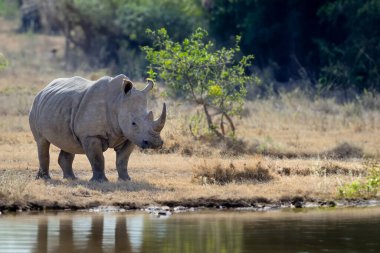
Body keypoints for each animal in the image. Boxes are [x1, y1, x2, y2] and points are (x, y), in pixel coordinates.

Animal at [29, 74, 166, 181]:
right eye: (133, 123)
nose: (155, 143)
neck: (118, 102)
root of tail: (44, 89)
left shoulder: (129, 136)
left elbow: (123, 159)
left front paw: (126, 179)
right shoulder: (91, 135)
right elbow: (97, 158)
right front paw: (100, 181)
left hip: (58, 106)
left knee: (68, 142)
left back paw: (71, 178)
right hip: (35, 106)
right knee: (42, 142)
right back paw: (44, 178)